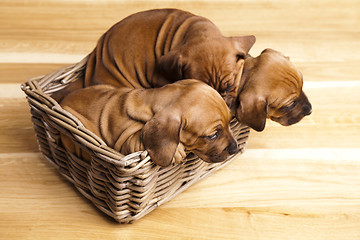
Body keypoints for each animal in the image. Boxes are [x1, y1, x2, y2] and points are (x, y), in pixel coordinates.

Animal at [60, 79, 238, 166]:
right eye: (212, 135)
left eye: (230, 122)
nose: (235, 149)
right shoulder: (124, 142)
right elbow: (137, 139)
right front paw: (177, 150)